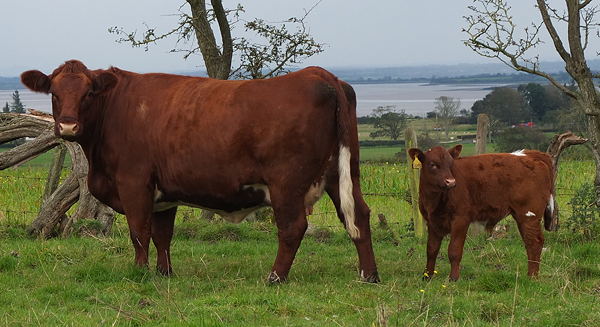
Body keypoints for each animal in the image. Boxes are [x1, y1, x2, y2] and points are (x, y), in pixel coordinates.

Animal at [23, 59, 380, 284]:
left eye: (88, 93)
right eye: (54, 93)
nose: (68, 127)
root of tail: (319, 74)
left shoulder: (134, 182)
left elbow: (139, 232)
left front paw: (140, 273)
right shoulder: (163, 194)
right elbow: (162, 235)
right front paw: (164, 273)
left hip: (287, 183)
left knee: (293, 228)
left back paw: (275, 277)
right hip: (342, 173)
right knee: (358, 216)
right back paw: (369, 275)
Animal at [408, 146, 552, 282]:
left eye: (450, 164)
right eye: (433, 164)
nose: (451, 182)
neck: (435, 200)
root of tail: (529, 154)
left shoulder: (461, 220)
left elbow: (454, 250)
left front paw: (453, 278)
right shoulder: (432, 221)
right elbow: (431, 250)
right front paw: (427, 276)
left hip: (528, 215)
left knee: (534, 242)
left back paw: (532, 276)